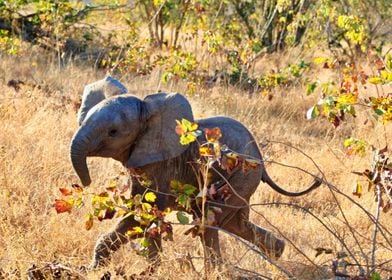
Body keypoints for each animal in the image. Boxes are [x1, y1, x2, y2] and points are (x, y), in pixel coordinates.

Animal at [70, 83, 322, 270]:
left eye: (113, 132)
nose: (86, 183)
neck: (147, 110)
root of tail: (261, 158)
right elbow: (143, 214)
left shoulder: (161, 164)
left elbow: (145, 213)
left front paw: (149, 271)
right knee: (234, 224)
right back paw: (277, 253)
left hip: (240, 177)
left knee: (209, 221)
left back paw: (216, 271)